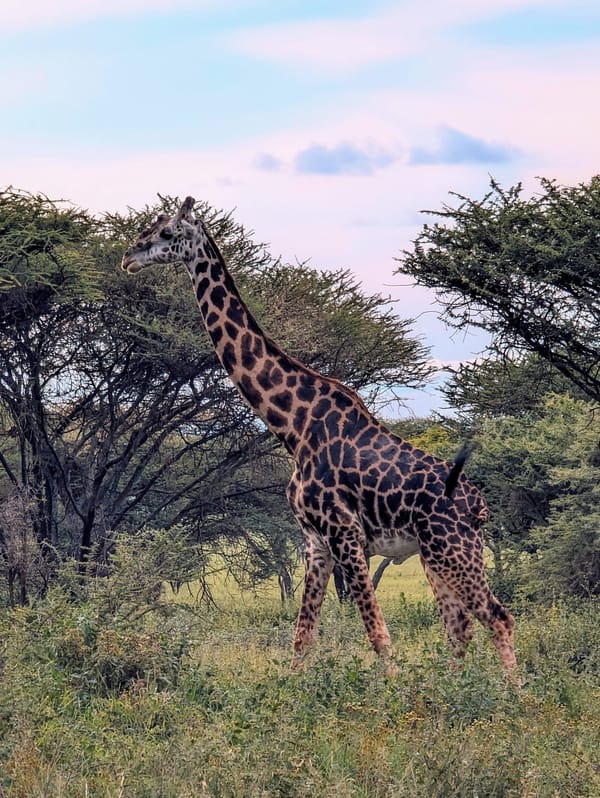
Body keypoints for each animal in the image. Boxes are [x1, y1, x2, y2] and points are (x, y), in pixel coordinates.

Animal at [121, 197, 517, 676]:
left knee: (498, 618)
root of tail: (479, 507)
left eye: (164, 233)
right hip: (437, 553)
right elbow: (302, 638)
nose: (128, 257)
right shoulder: (315, 542)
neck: (293, 427)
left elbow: (379, 637)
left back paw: (512, 694)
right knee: (460, 628)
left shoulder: (345, 533)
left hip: (452, 548)